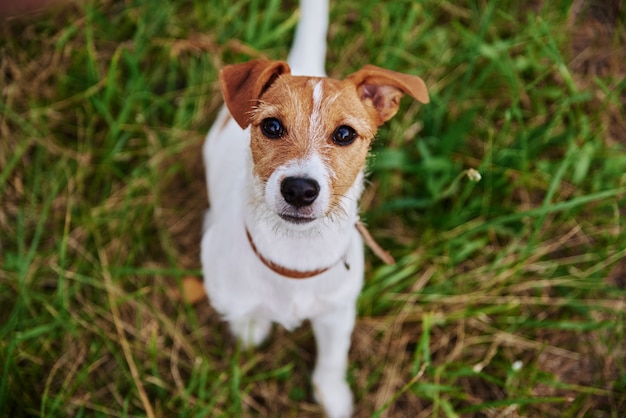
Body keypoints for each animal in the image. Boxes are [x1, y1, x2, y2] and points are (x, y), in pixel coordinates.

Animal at [202, 1, 426, 416]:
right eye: (272, 127)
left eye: (345, 134)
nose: (300, 189)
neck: (294, 254)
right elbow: (245, 316)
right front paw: (251, 328)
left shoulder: (338, 314)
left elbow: (333, 360)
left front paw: (334, 397)